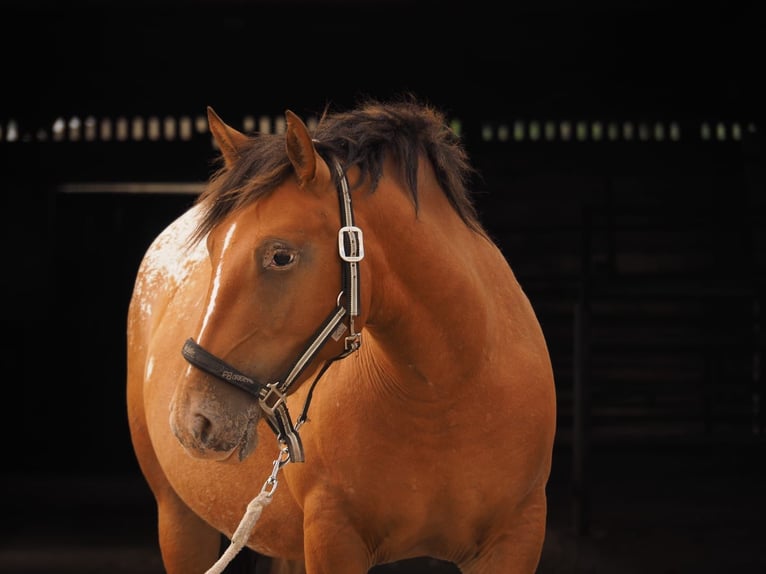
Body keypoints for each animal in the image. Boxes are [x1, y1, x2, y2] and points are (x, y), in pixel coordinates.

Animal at [126, 99, 560, 574]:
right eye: (211, 248)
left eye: (281, 256)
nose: (193, 420)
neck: (446, 395)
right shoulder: (334, 539)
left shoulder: (515, 540)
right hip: (180, 520)